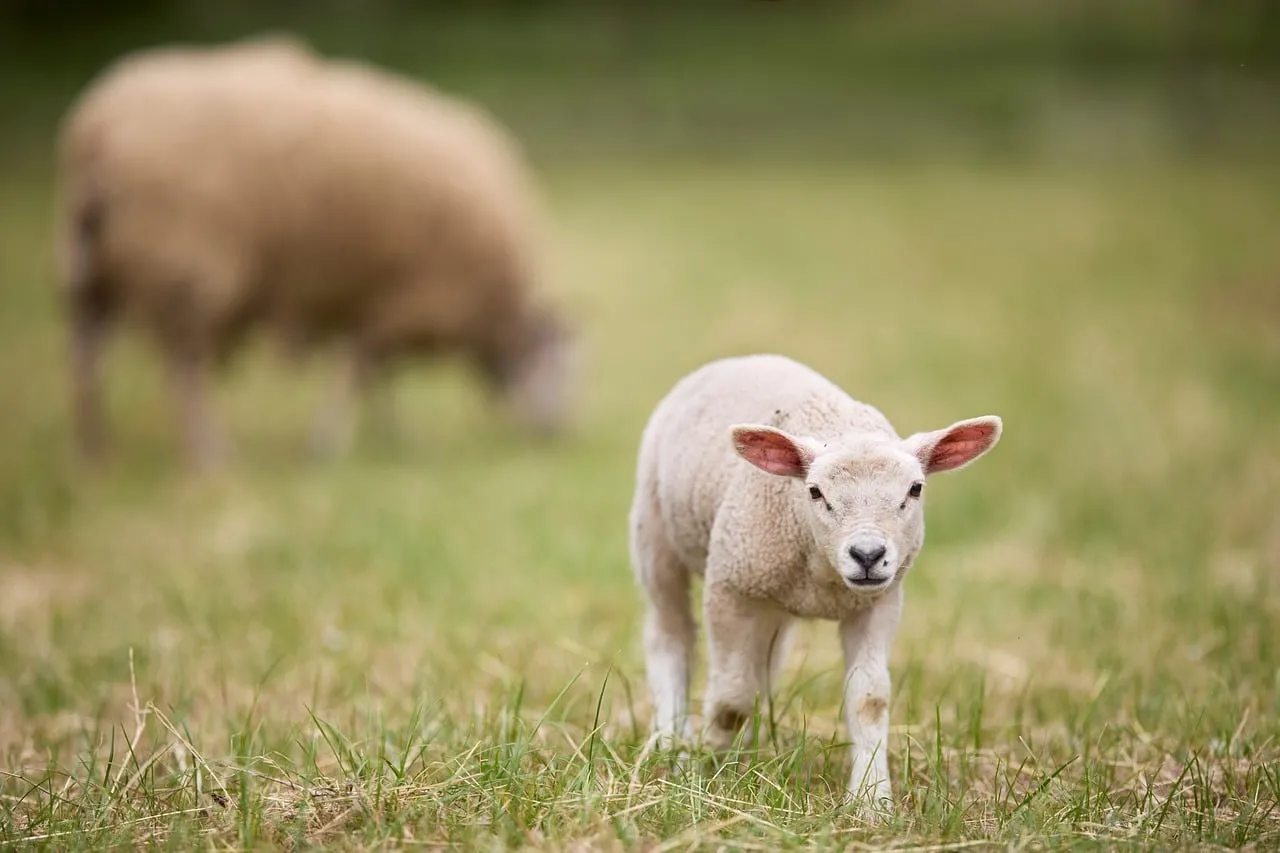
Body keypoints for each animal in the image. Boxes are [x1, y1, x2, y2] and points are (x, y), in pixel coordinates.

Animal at [55, 35, 575, 468]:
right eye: (563, 366)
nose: (561, 433)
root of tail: (100, 127)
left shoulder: (372, 302)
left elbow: (374, 377)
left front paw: (387, 436)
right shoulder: (398, 301)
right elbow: (359, 373)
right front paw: (332, 445)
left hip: (92, 272)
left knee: (87, 362)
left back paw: (93, 453)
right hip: (185, 274)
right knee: (183, 374)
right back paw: (210, 454)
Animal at [628, 353, 1002, 809]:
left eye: (915, 489)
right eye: (815, 491)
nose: (867, 555)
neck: (824, 578)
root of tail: (742, 358)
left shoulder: (879, 602)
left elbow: (869, 699)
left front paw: (871, 800)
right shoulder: (729, 587)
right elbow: (732, 696)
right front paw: (704, 762)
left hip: (771, 599)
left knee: (763, 665)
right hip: (655, 533)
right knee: (670, 634)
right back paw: (669, 739)